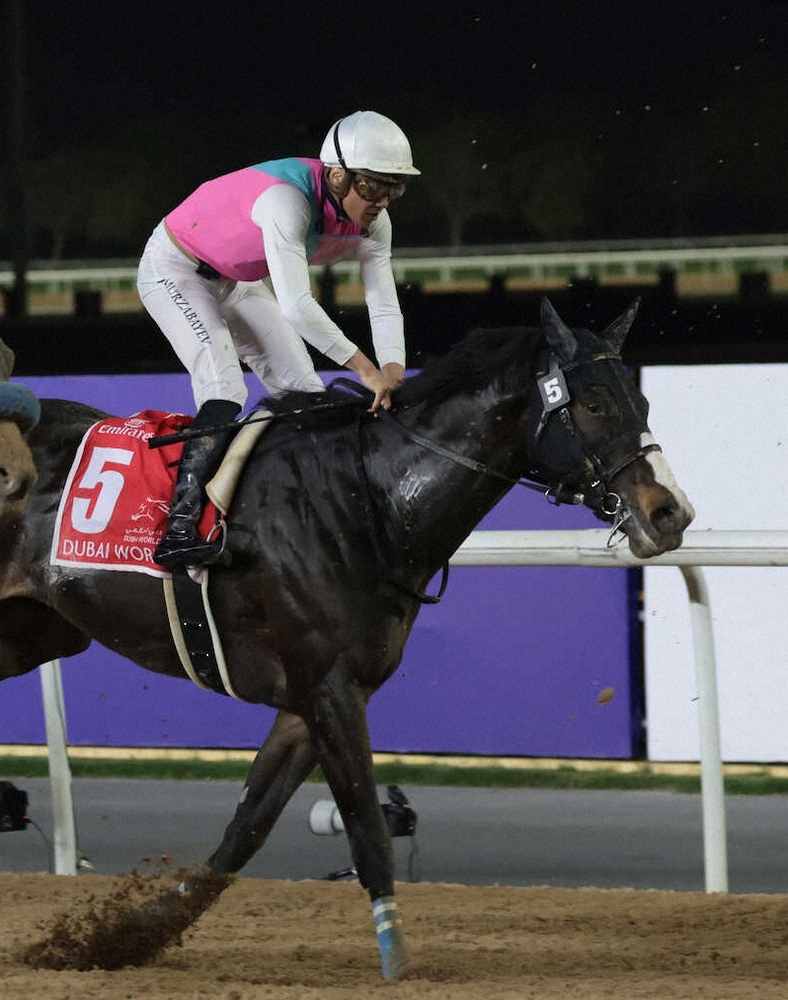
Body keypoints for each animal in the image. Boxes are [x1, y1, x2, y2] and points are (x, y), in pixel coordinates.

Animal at [0, 299, 694, 977]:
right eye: (595, 403)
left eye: (642, 402)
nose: (670, 513)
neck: (372, 500)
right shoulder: (328, 689)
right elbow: (367, 828)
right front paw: (395, 958)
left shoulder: (314, 699)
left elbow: (245, 831)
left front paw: (120, 936)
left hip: (35, 634)